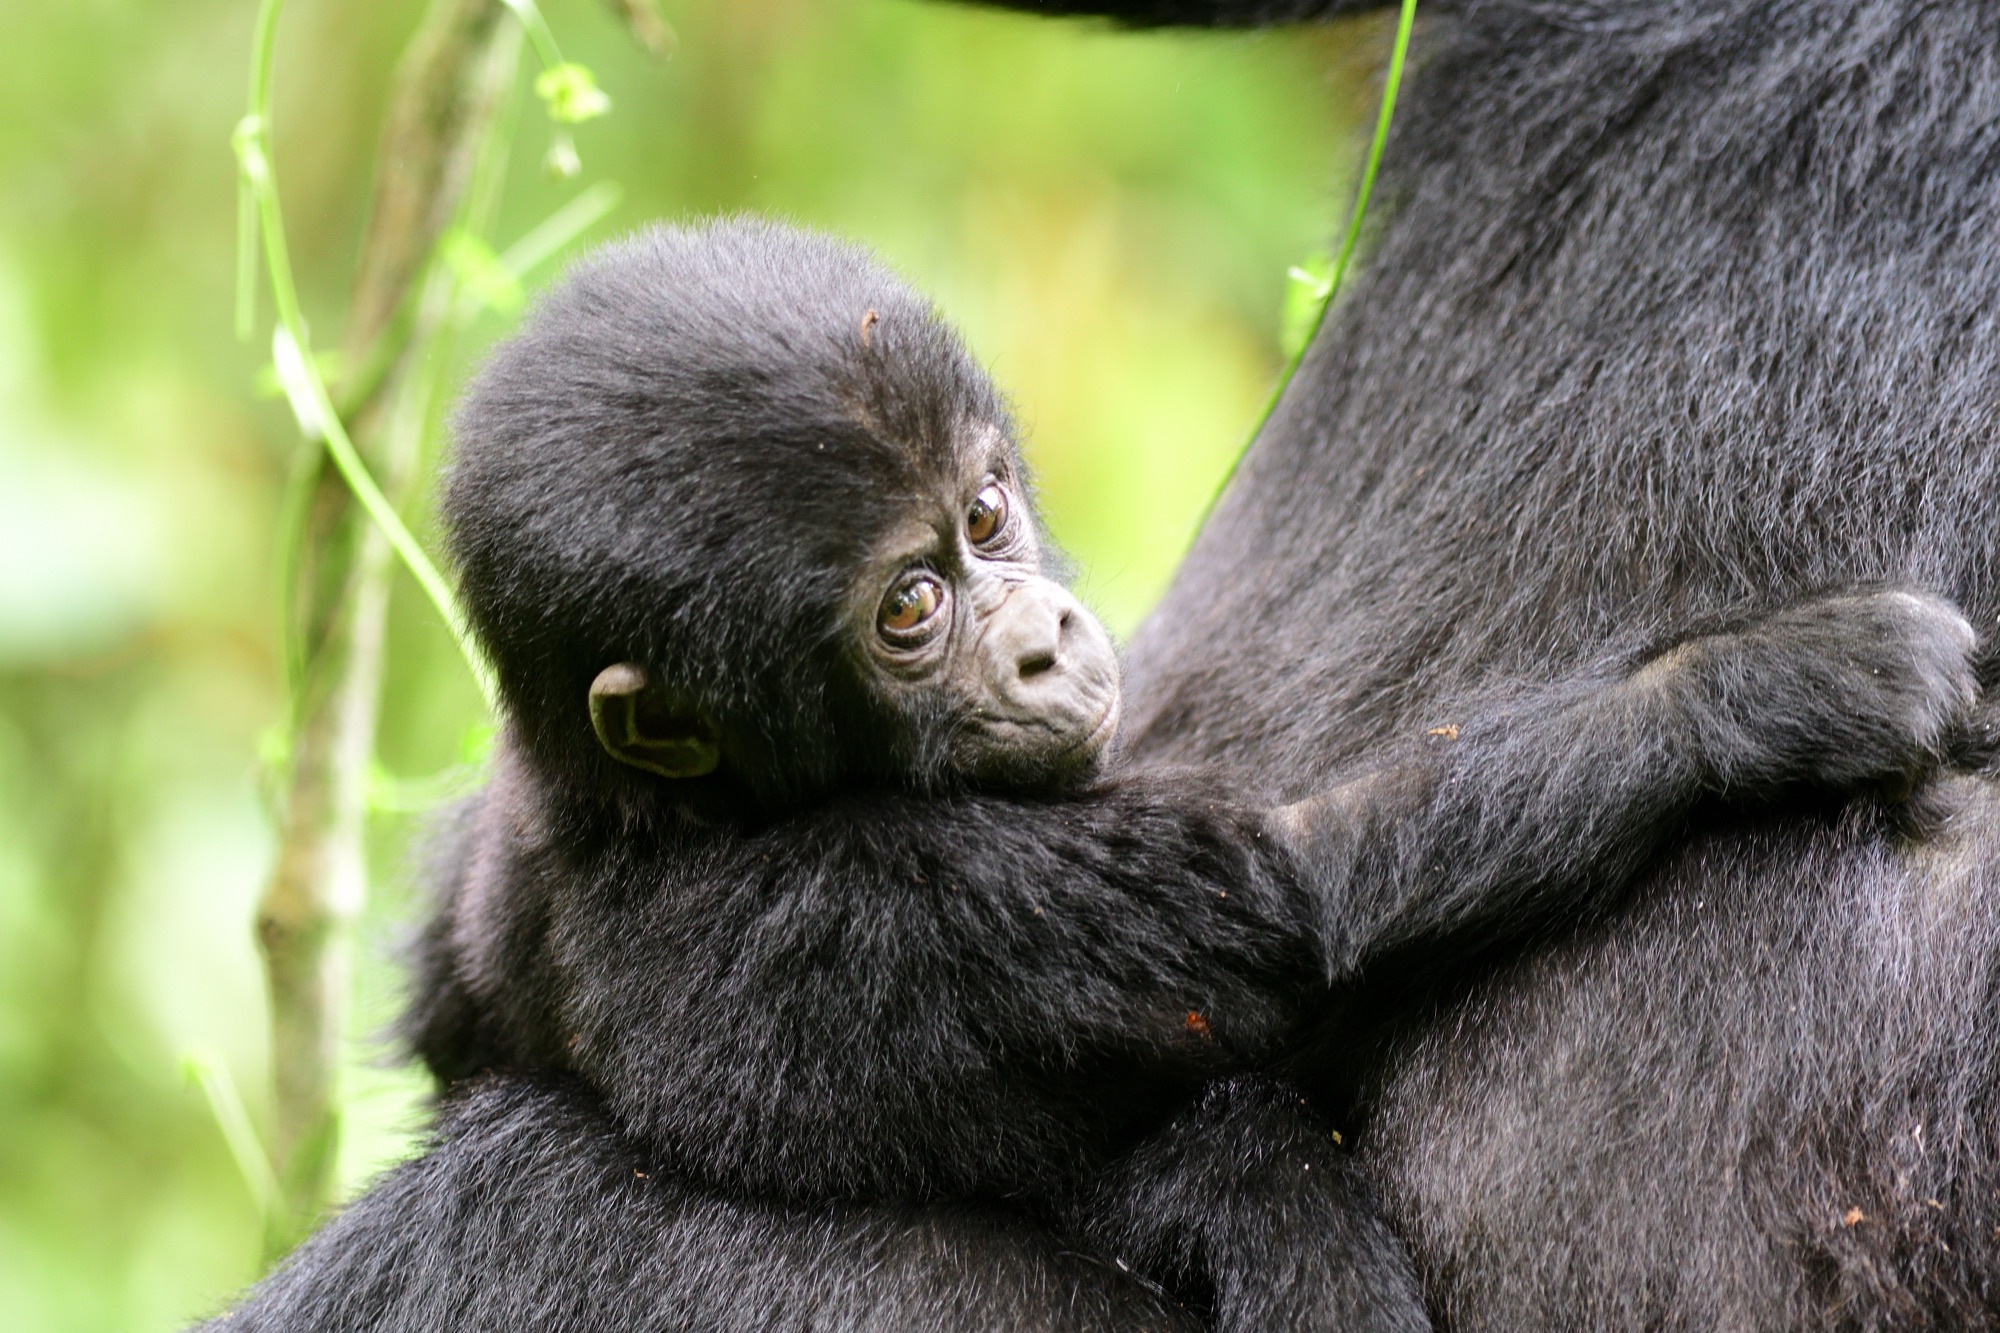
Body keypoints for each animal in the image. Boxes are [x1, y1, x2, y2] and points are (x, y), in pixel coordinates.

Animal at [356, 220, 1968, 1328]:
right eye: (910, 608)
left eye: (986, 513)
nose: (1042, 642)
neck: (667, 805)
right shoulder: (881, 901)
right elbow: (1298, 902)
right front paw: (1768, 690)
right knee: (1245, 1150)